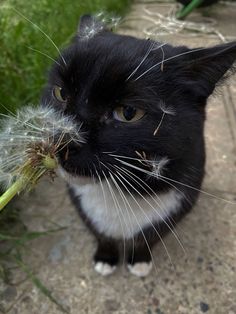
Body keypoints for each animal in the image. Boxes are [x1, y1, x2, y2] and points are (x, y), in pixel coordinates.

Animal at [41, 14, 235, 276]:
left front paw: (140, 260)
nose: (61, 139)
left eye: (129, 113)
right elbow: (101, 234)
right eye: (60, 93)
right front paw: (105, 258)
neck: (117, 192)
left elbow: (148, 237)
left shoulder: (178, 203)